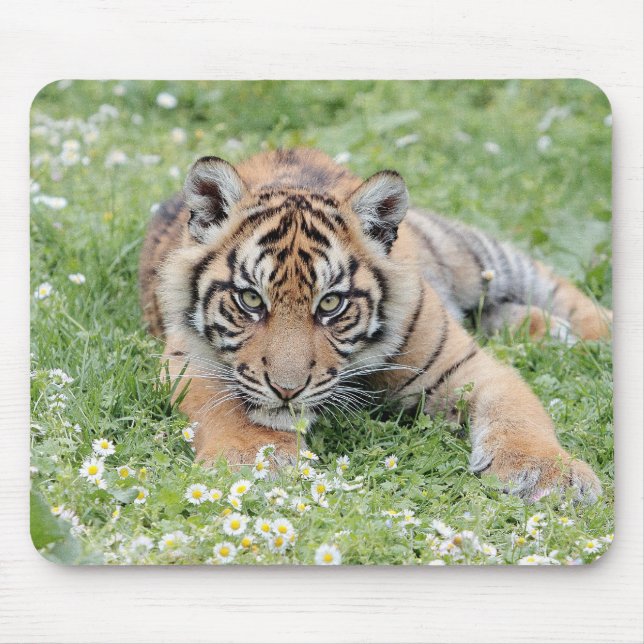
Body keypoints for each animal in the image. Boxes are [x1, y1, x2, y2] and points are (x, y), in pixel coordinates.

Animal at [139, 148, 611, 503]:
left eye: (331, 304)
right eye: (251, 300)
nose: (287, 390)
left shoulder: (467, 365)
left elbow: (517, 413)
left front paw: (549, 475)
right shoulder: (187, 357)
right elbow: (223, 406)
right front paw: (254, 456)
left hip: (475, 256)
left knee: (556, 286)